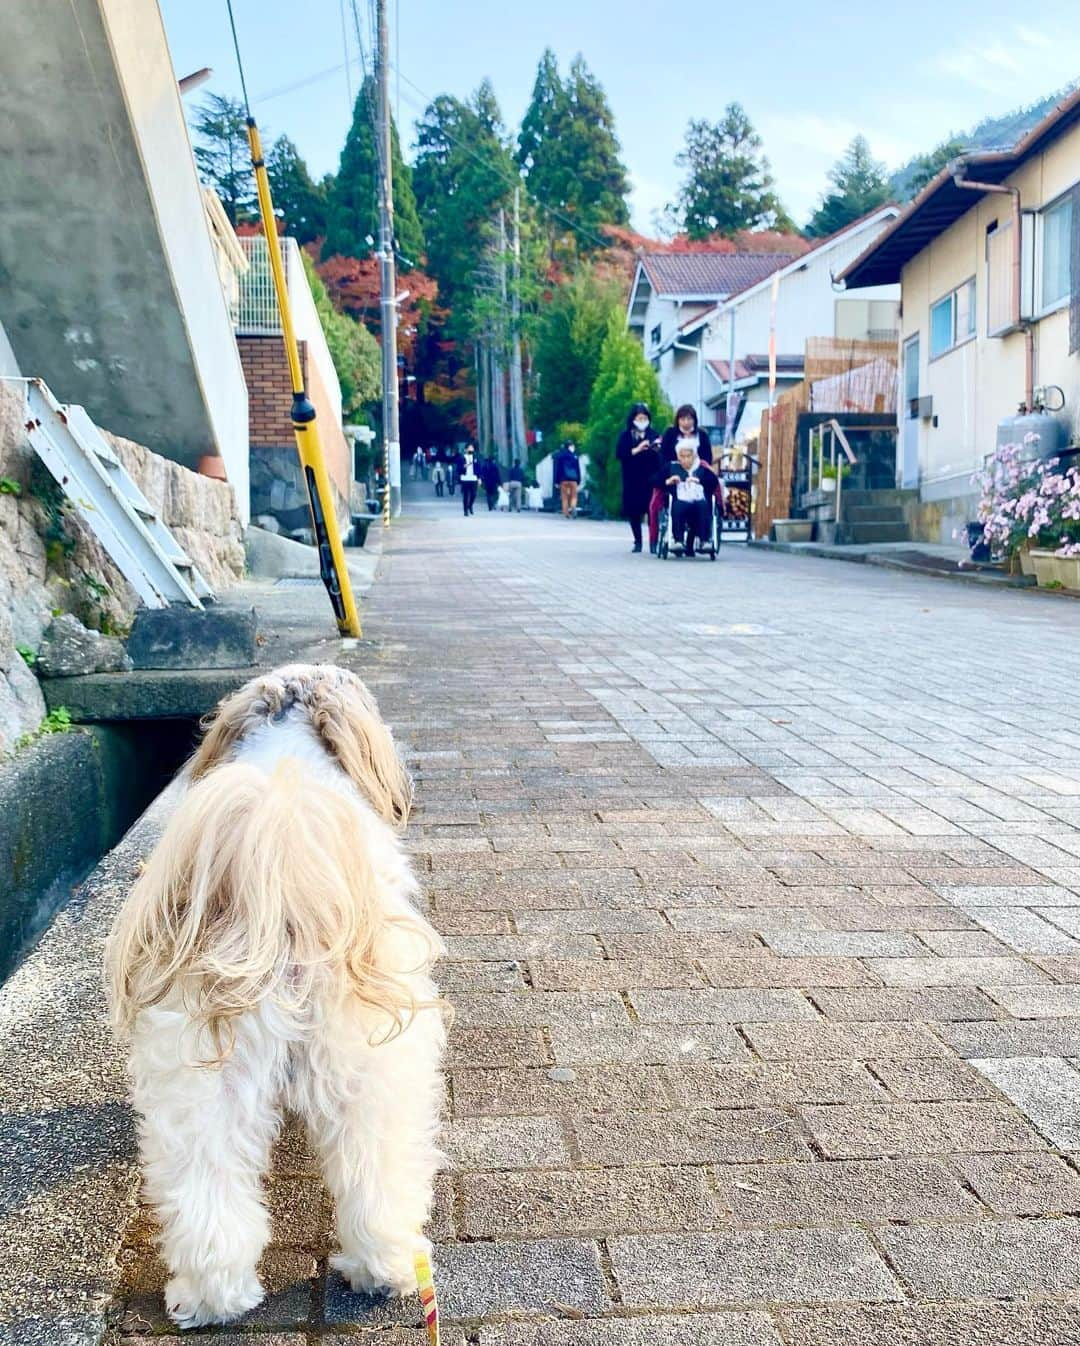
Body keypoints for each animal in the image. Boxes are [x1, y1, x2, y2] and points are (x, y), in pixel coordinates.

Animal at [107, 662, 444, 1324]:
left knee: (209, 1186)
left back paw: (214, 1298)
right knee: (381, 1171)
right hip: (376, 1059)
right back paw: (386, 1267)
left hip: (205, 1075)